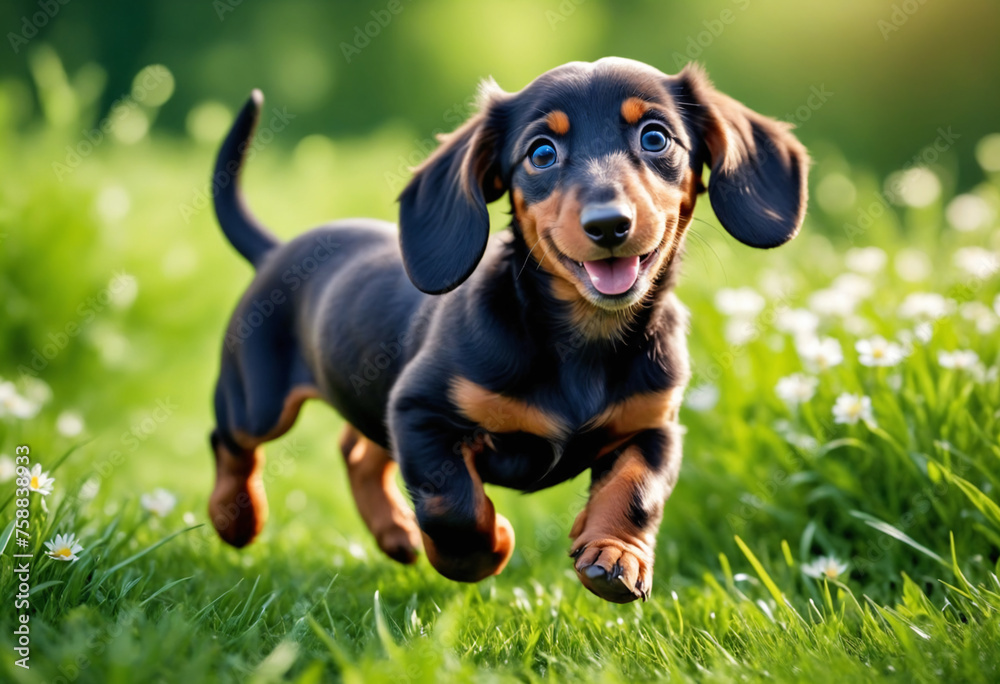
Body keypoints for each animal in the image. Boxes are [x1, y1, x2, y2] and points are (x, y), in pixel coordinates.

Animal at [207, 60, 808, 604]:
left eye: (655, 137)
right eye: (541, 153)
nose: (609, 225)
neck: (583, 338)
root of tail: (274, 250)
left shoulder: (654, 426)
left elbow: (636, 489)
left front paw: (614, 554)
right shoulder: (420, 411)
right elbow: (453, 505)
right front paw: (485, 547)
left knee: (357, 449)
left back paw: (395, 531)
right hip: (259, 401)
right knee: (233, 442)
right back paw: (236, 520)